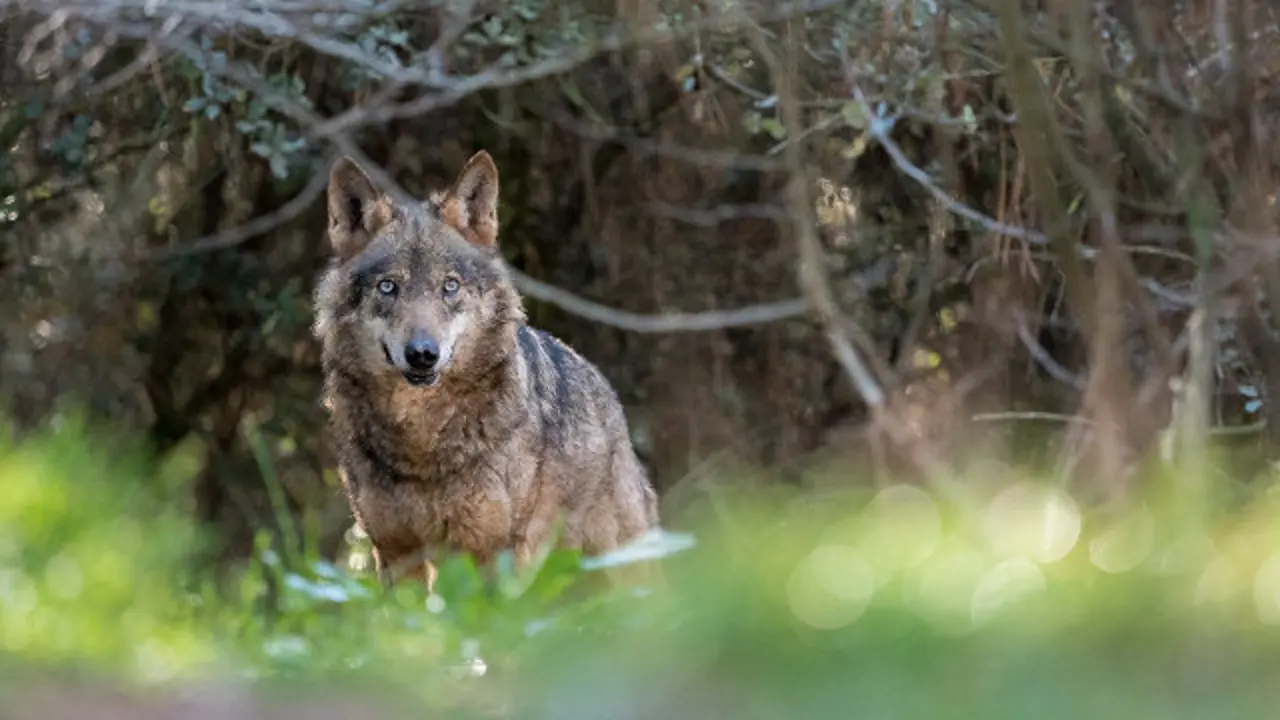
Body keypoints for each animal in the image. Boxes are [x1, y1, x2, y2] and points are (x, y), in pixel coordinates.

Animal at [313, 150, 661, 588]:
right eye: (388, 287)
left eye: (450, 286)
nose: (422, 354)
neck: (421, 442)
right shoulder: (395, 551)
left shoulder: (492, 550)